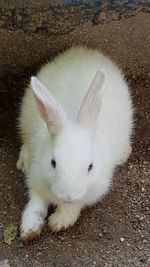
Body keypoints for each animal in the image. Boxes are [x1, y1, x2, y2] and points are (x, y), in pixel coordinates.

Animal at [17, 47, 133, 242]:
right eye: (53, 163)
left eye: (90, 167)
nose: (68, 196)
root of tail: (84, 49)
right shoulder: (36, 180)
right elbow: (35, 204)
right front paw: (29, 230)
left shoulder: (90, 192)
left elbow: (73, 208)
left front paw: (57, 222)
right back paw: (23, 162)